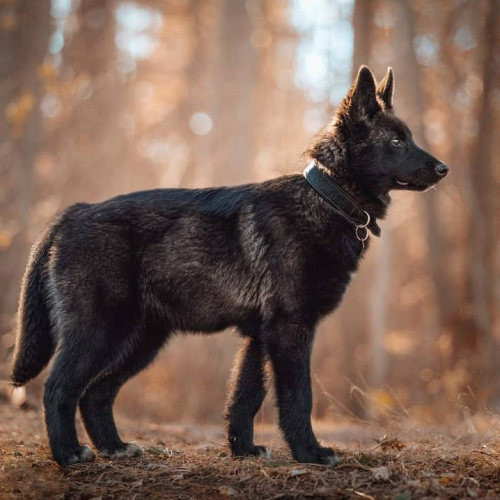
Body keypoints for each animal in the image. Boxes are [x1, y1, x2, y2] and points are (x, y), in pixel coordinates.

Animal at [11, 65, 450, 464]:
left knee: (96, 393)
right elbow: (297, 397)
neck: (327, 198)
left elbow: (245, 398)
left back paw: (114, 447)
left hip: (141, 341)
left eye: (409, 137)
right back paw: (68, 453)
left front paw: (244, 450)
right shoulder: (290, 329)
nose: (444, 169)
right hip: (99, 332)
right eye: (396, 141)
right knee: (58, 388)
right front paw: (309, 452)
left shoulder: (259, 336)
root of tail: (72, 212)